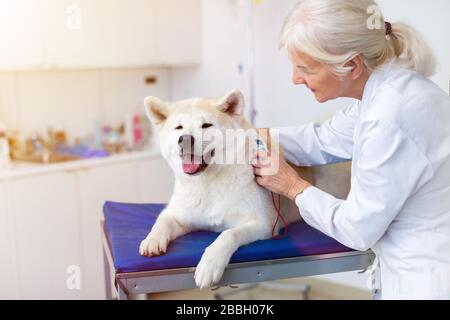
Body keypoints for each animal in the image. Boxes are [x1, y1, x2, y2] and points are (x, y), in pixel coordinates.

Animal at [139, 89, 298, 288]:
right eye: (179, 128)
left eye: (206, 125)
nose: (184, 139)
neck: (208, 183)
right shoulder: (178, 215)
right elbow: (162, 222)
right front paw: (152, 239)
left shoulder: (263, 224)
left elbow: (229, 234)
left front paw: (210, 264)